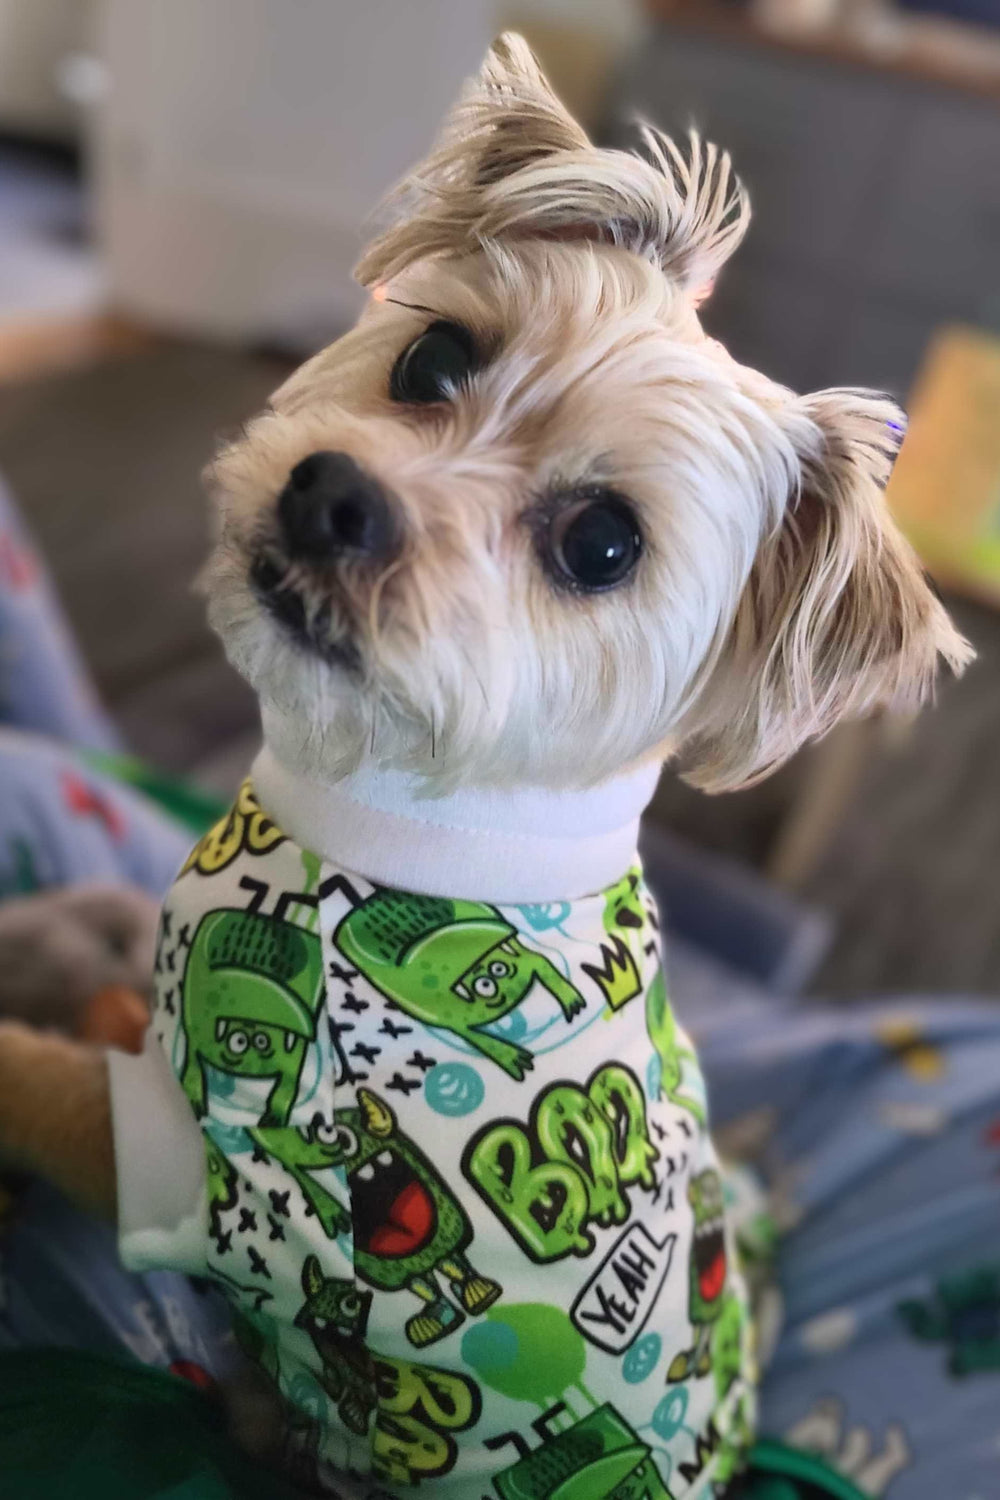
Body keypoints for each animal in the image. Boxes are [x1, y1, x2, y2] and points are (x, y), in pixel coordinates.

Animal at [0, 32, 971, 1500]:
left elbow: (26, 1074)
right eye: (434, 354)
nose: (331, 495)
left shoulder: (189, 1154)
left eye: (603, 545)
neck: (399, 811)